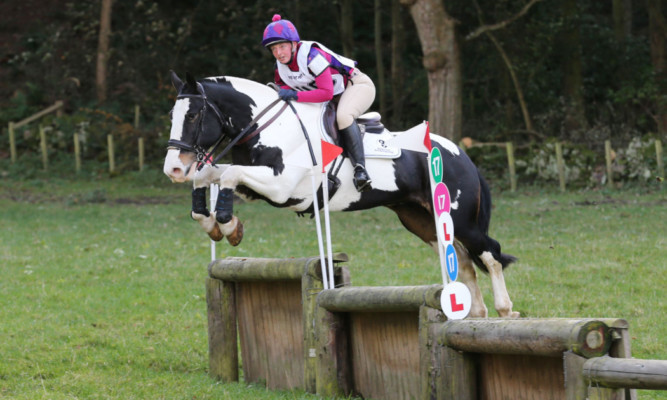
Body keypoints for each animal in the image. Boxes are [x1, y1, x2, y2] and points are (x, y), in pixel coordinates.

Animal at [164, 70, 520, 318]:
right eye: (172, 116)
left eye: (193, 115)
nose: (174, 170)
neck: (268, 127)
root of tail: (461, 154)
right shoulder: (260, 187)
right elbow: (211, 174)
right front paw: (217, 225)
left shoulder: (283, 187)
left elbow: (227, 173)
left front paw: (226, 225)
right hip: (421, 219)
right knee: (464, 259)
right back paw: (475, 312)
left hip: (460, 218)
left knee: (490, 253)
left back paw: (504, 309)